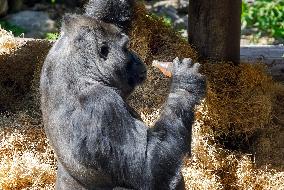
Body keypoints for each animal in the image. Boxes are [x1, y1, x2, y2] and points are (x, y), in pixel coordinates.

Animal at [40, 14, 205, 189]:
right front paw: (185, 83)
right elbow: (147, 171)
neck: (81, 74)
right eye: (126, 48)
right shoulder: (101, 103)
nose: (138, 58)